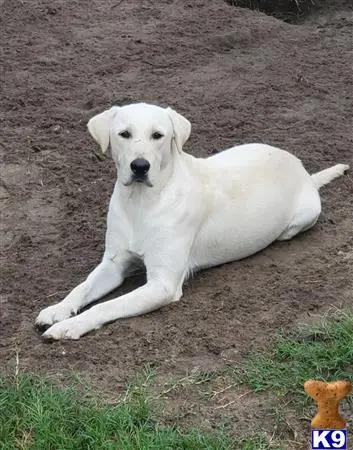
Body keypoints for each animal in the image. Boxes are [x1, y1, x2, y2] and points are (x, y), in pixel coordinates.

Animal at [34, 103, 348, 340]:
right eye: (124, 134)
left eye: (158, 135)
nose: (140, 166)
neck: (142, 203)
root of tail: (304, 171)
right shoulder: (113, 263)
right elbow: (82, 288)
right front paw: (58, 309)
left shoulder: (162, 285)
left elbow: (107, 306)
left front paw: (70, 326)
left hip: (302, 217)